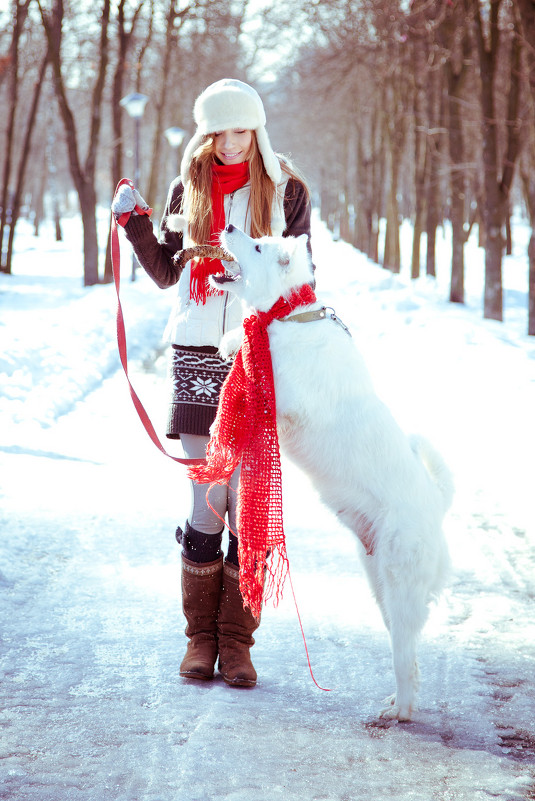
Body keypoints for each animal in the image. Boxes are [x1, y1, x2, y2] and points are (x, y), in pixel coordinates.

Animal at [211, 223, 454, 720]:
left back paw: (396, 713)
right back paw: (396, 704)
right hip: (379, 582)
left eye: (258, 245)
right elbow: (243, 348)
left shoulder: (287, 401)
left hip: (399, 586)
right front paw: (230, 345)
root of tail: (436, 505)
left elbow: (257, 381)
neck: (286, 316)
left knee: (406, 660)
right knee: (410, 659)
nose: (227, 226)